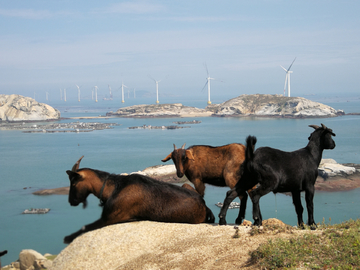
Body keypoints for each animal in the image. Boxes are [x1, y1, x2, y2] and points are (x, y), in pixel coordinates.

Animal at [64, 155, 214, 244]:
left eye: (73, 183)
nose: (71, 201)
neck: (113, 187)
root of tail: (204, 206)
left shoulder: (109, 218)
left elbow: (85, 227)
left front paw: (68, 237)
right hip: (186, 185)